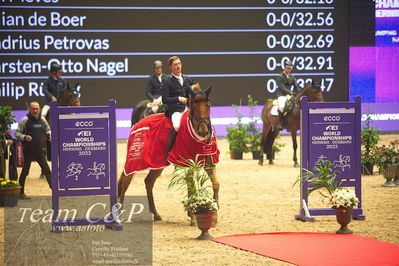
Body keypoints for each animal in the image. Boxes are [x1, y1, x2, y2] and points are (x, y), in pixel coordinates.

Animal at [117, 84, 220, 225]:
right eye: (194, 107)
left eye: (208, 105)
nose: (204, 132)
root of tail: (138, 123)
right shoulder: (188, 163)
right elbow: (191, 187)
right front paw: (193, 217)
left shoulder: (209, 163)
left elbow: (216, 184)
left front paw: (215, 214)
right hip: (135, 160)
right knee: (125, 181)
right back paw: (118, 215)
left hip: (157, 163)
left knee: (148, 181)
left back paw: (156, 214)